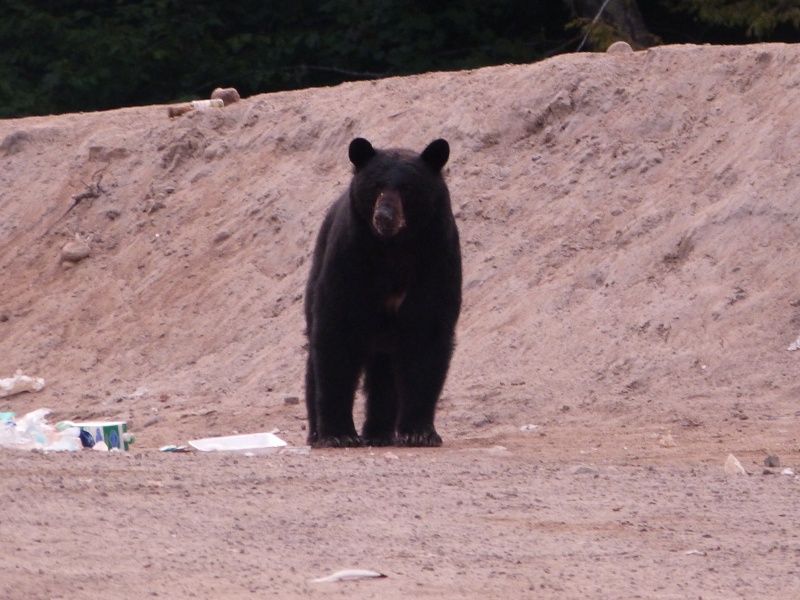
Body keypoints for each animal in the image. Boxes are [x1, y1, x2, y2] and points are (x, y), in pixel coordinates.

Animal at [304, 136, 460, 446]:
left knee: (384, 374)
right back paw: (317, 432)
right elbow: (336, 334)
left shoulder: (437, 259)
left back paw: (379, 432)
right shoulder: (350, 260)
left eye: (406, 188)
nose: (384, 216)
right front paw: (339, 434)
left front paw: (420, 432)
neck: (394, 249)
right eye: (376, 186)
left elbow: (428, 336)